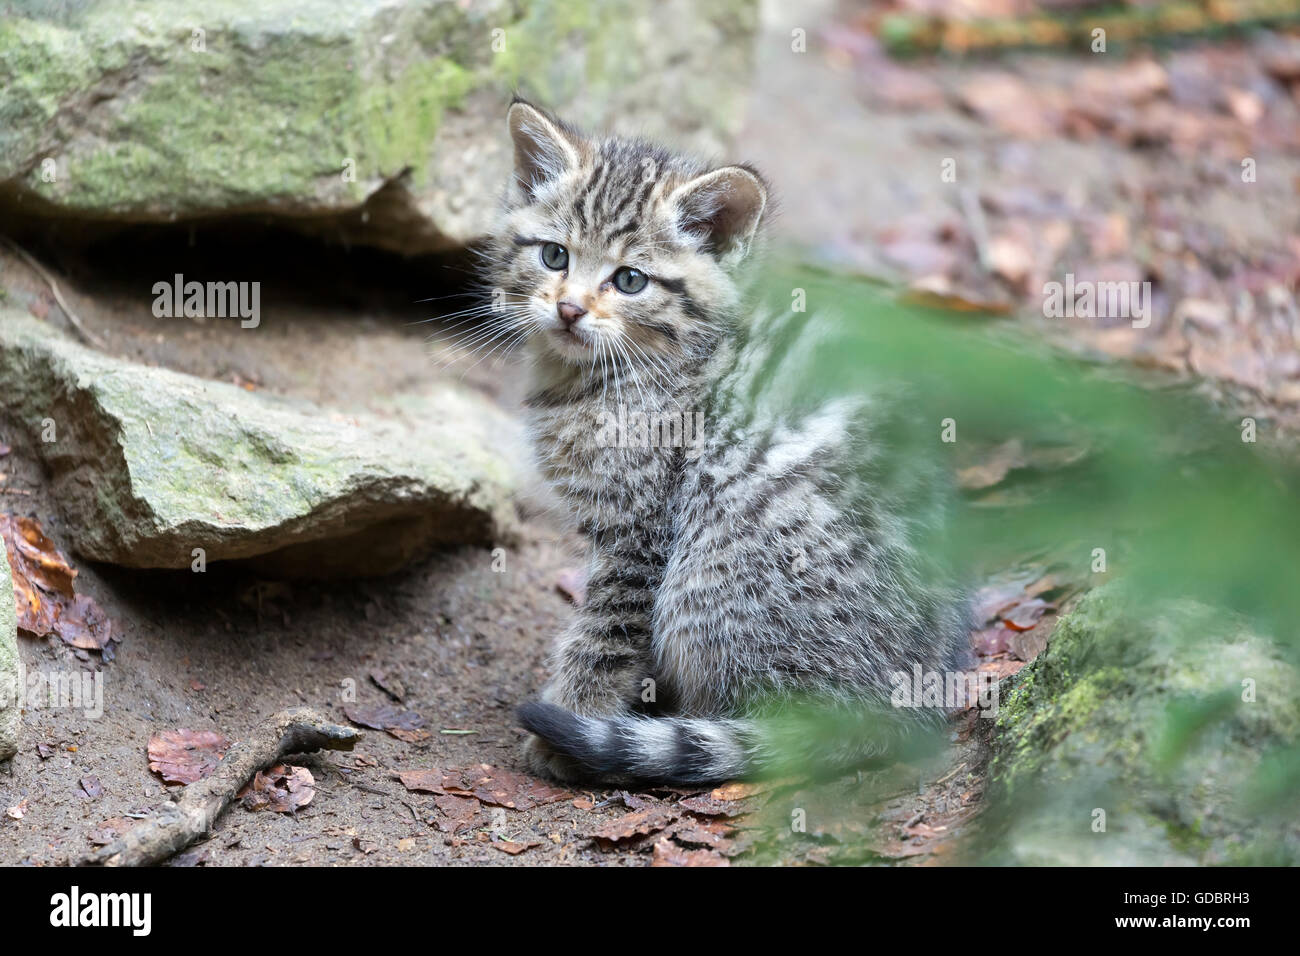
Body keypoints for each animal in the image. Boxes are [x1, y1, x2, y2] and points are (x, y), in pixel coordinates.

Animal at [483, 97, 972, 785]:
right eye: (554, 256)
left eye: (629, 280)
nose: (570, 309)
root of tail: (907, 703)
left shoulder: (641, 533)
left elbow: (606, 637)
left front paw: (571, 718)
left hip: (710, 571)